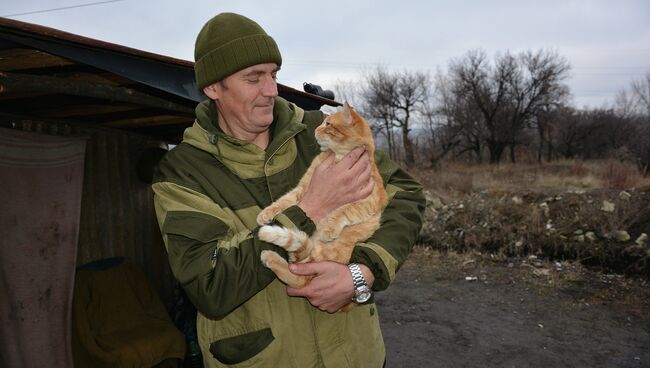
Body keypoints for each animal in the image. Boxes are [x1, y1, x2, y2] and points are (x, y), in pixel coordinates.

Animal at [256, 102, 388, 310]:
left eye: (328, 124)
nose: (316, 129)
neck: (338, 157)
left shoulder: (371, 200)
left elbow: (345, 210)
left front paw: (329, 227)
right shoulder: (303, 188)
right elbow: (285, 200)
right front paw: (267, 212)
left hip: (326, 253)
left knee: (300, 276)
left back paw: (270, 256)